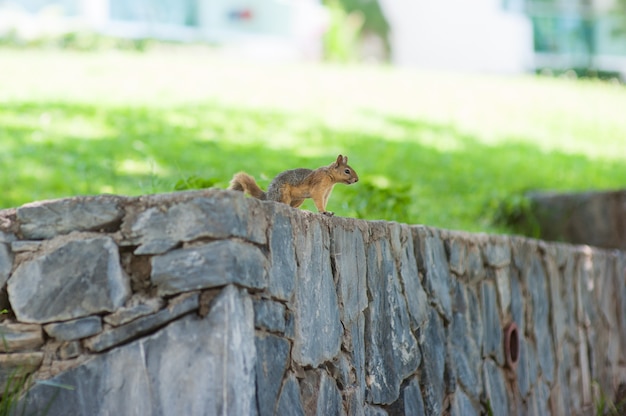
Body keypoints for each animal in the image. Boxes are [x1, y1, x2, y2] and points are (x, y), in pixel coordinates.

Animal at [228, 154, 356, 216]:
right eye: (347, 171)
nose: (356, 180)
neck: (329, 176)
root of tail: (269, 196)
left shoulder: (327, 192)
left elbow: (323, 201)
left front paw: (326, 211)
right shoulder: (319, 186)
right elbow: (318, 199)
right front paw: (324, 212)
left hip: (299, 199)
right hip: (283, 193)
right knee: (283, 204)